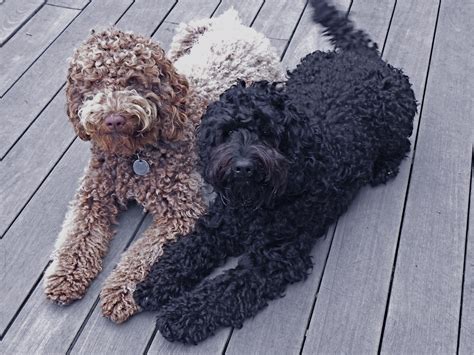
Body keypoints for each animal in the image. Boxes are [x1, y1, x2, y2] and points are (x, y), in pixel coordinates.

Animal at [132, 0, 414, 344]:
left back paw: (384, 167)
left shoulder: (274, 257)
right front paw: (156, 282)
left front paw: (182, 314)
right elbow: (187, 250)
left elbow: (226, 289)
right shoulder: (220, 225)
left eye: (267, 133)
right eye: (227, 132)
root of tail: (365, 58)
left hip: (398, 115)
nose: (242, 167)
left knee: (401, 144)